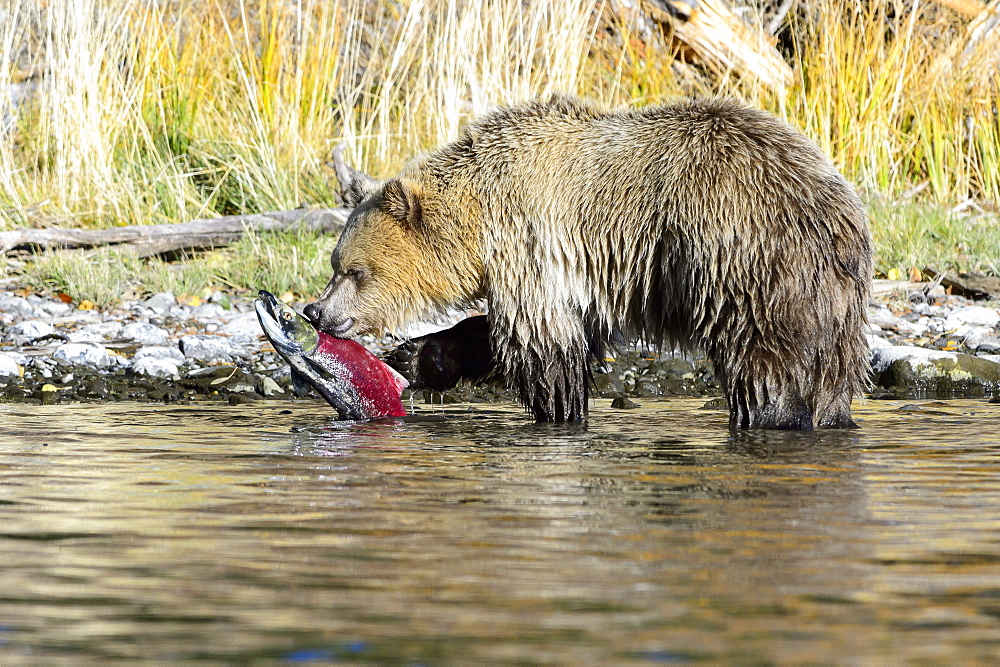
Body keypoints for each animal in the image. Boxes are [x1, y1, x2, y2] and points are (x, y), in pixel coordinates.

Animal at [306, 96, 876, 430]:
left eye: (352, 271)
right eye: (337, 266)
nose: (317, 311)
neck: (478, 222)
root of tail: (837, 214)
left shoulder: (532, 239)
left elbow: (541, 343)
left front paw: (558, 410)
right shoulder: (581, 274)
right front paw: (421, 355)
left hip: (745, 266)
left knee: (765, 366)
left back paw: (769, 415)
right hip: (835, 304)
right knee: (831, 373)